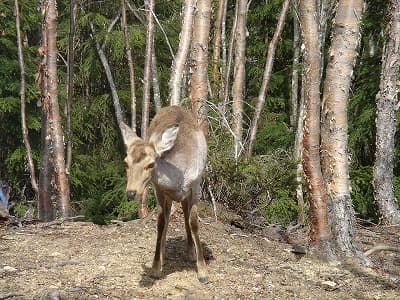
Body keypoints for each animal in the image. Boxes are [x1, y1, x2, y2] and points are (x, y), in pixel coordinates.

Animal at [121, 105, 209, 284]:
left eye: (150, 164)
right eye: (125, 163)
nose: (131, 193)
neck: (179, 178)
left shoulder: (195, 186)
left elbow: (194, 223)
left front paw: (203, 272)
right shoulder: (159, 189)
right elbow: (161, 223)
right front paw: (155, 267)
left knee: (185, 215)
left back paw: (190, 252)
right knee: (168, 218)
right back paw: (163, 253)